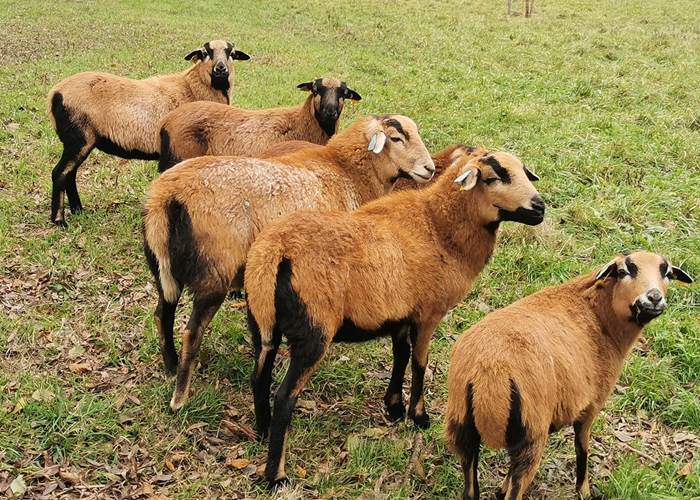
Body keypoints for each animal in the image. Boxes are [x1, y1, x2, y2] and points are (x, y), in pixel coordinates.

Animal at [47, 39, 250, 227]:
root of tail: (55, 93)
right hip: (78, 138)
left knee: (70, 174)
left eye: (232, 53)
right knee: (60, 173)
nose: (220, 69)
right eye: (204, 53)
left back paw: (78, 210)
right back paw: (59, 220)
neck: (192, 88)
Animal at [142, 114, 435, 412]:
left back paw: (170, 367)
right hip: (214, 273)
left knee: (162, 313)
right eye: (396, 138)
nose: (430, 169)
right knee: (191, 332)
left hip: (163, 268)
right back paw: (180, 398)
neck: (347, 173)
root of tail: (166, 196)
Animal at [244, 151, 545, 488]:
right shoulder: (429, 313)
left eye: (523, 172)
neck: (439, 228)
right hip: (314, 330)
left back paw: (262, 430)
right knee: (285, 397)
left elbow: (400, 356)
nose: (540, 208)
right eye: (494, 178)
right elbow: (419, 362)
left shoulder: (401, 313)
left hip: (262, 322)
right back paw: (276, 475)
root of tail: (276, 250)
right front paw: (419, 416)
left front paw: (394, 406)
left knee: (259, 376)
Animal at [445, 251, 693, 500]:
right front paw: (584, 491)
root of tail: (488, 371)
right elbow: (582, 447)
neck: (601, 318)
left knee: (470, 488)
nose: (654, 298)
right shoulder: (591, 406)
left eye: (667, 273)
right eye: (624, 271)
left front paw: (501, 486)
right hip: (531, 434)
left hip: (462, 428)